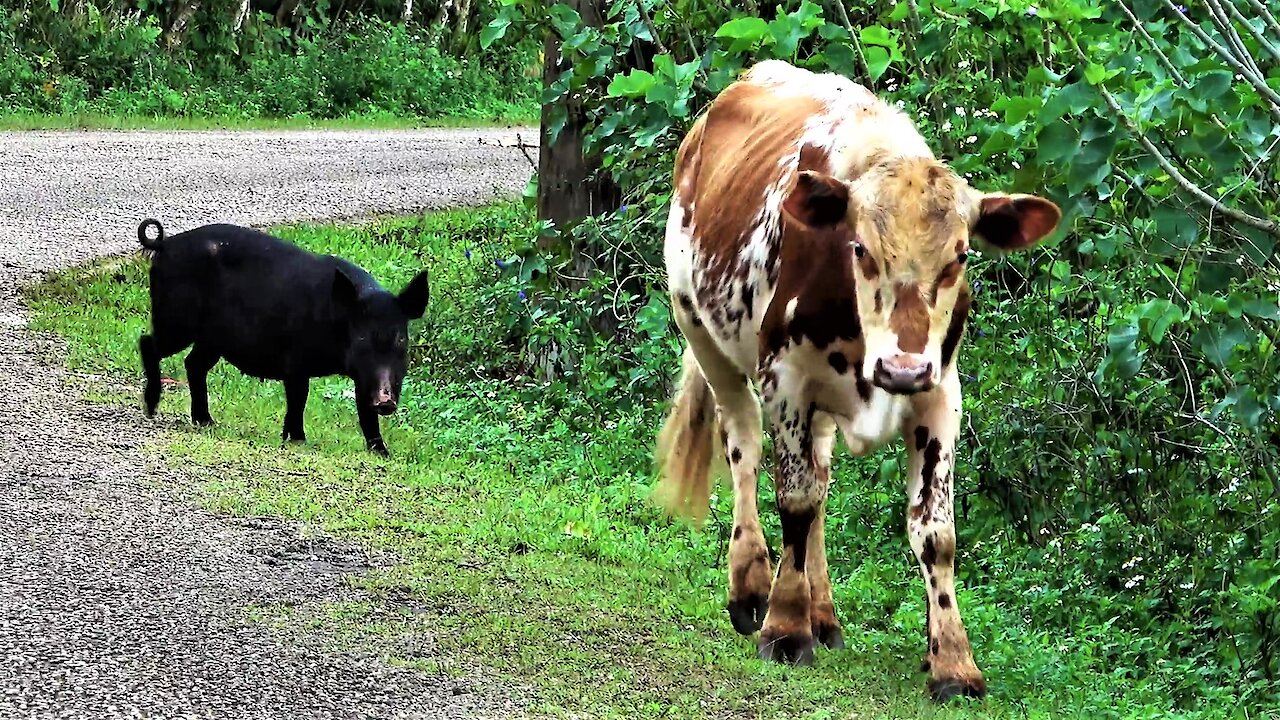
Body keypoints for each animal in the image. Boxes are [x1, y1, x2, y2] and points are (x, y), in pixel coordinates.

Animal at [136, 219, 430, 453]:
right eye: (361, 339)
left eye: (401, 340)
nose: (386, 400)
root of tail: (164, 245)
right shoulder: (296, 361)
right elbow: (299, 398)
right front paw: (298, 440)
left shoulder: (362, 376)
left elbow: (366, 415)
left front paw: (382, 452)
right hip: (175, 321)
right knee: (148, 343)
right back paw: (151, 409)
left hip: (211, 339)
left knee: (193, 364)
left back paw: (206, 422)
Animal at [655, 61, 1064, 702]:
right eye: (861, 249)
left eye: (960, 256)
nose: (901, 368)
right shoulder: (785, 378)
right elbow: (795, 500)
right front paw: (784, 628)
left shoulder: (940, 392)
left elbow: (935, 531)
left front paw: (953, 661)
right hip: (698, 326)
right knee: (744, 447)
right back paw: (752, 586)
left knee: (820, 475)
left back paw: (822, 612)